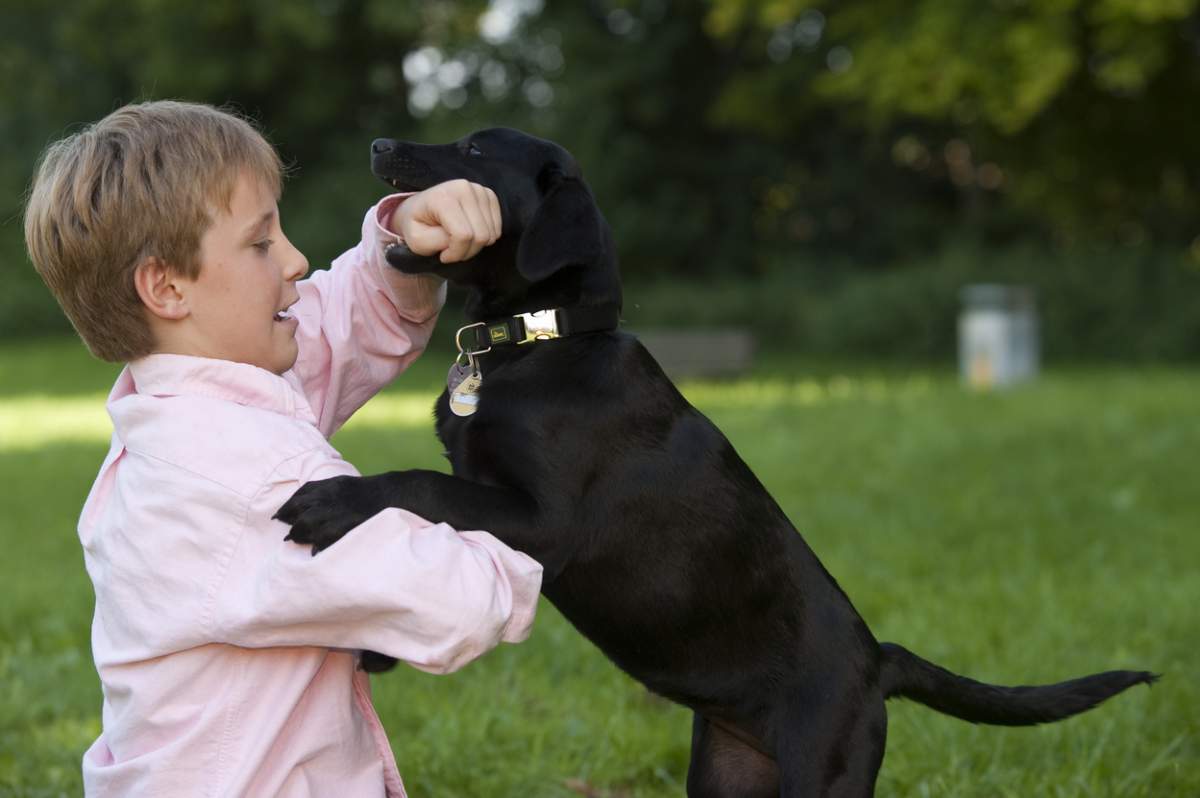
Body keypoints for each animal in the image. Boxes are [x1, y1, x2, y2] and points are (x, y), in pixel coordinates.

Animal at [276, 127, 1156, 792]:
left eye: (474, 149)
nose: (379, 142)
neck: (545, 337)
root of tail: (878, 664)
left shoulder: (545, 521)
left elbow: (417, 484)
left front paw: (328, 504)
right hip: (729, 772)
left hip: (823, 771)